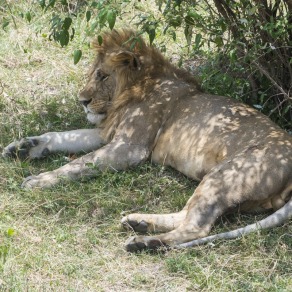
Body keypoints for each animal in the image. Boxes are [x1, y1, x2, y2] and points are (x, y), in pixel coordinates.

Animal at [2, 28, 292, 251]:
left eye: (102, 75)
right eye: (94, 73)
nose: (82, 101)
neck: (133, 88)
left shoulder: (130, 147)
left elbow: (79, 164)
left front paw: (38, 180)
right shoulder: (108, 132)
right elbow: (61, 136)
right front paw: (23, 147)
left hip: (227, 174)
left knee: (196, 227)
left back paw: (145, 241)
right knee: (188, 215)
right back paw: (138, 222)